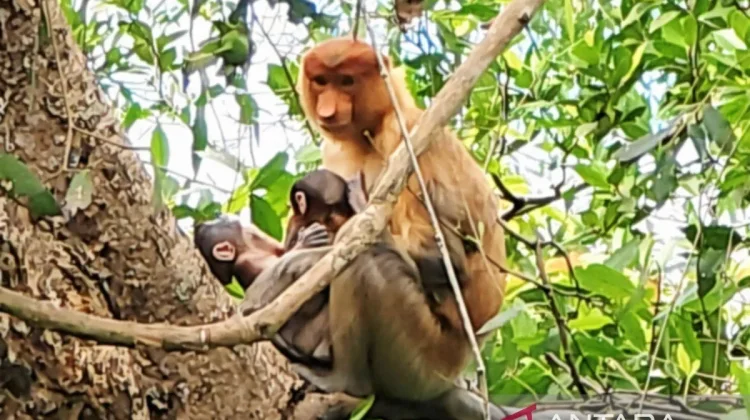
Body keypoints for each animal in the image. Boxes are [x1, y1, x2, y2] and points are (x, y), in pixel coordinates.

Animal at [295, 36, 508, 411]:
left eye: (347, 81)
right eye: (321, 81)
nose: (327, 111)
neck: (371, 129)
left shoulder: (405, 137)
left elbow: (446, 257)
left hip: (422, 361)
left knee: (368, 259)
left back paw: (344, 380)